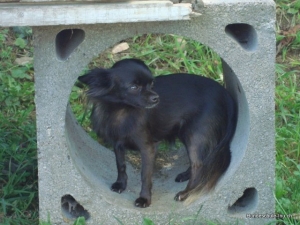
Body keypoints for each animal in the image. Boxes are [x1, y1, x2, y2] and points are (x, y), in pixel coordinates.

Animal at [78, 58, 237, 207]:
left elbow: (145, 175)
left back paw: (186, 193)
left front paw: (144, 199)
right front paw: (120, 185)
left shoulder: (147, 148)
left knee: (199, 165)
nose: (156, 98)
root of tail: (225, 94)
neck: (122, 110)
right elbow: (121, 165)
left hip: (195, 136)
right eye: (134, 87)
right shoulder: (117, 144)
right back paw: (185, 176)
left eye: (152, 84)